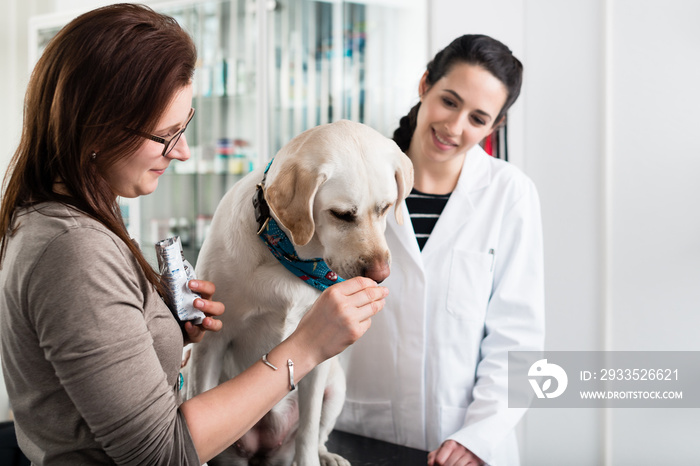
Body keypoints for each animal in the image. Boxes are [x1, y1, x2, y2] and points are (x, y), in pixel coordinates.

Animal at [183, 121, 412, 466]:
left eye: (385, 208)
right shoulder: (211, 344)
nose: (380, 275)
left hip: (336, 386)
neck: (291, 257)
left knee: (317, 433)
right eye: (342, 214)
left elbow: (307, 429)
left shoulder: (317, 360)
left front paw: (311, 458)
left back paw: (326, 455)